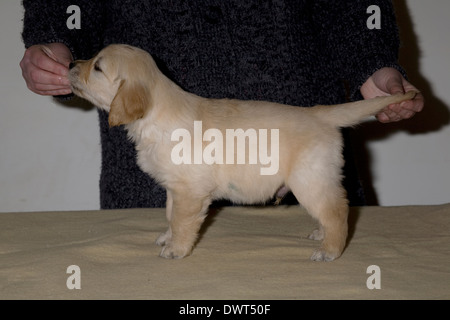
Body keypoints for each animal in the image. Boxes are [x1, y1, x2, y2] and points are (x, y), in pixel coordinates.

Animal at [68, 43, 416, 262]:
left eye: (97, 67)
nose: (70, 64)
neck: (156, 115)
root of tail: (321, 114)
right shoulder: (174, 187)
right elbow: (170, 215)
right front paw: (167, 237)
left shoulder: (190, 191)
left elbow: (182, 221)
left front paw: (176, 249)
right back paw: (321, 234)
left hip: (309, 179)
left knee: (338, 209)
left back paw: (330, 250)